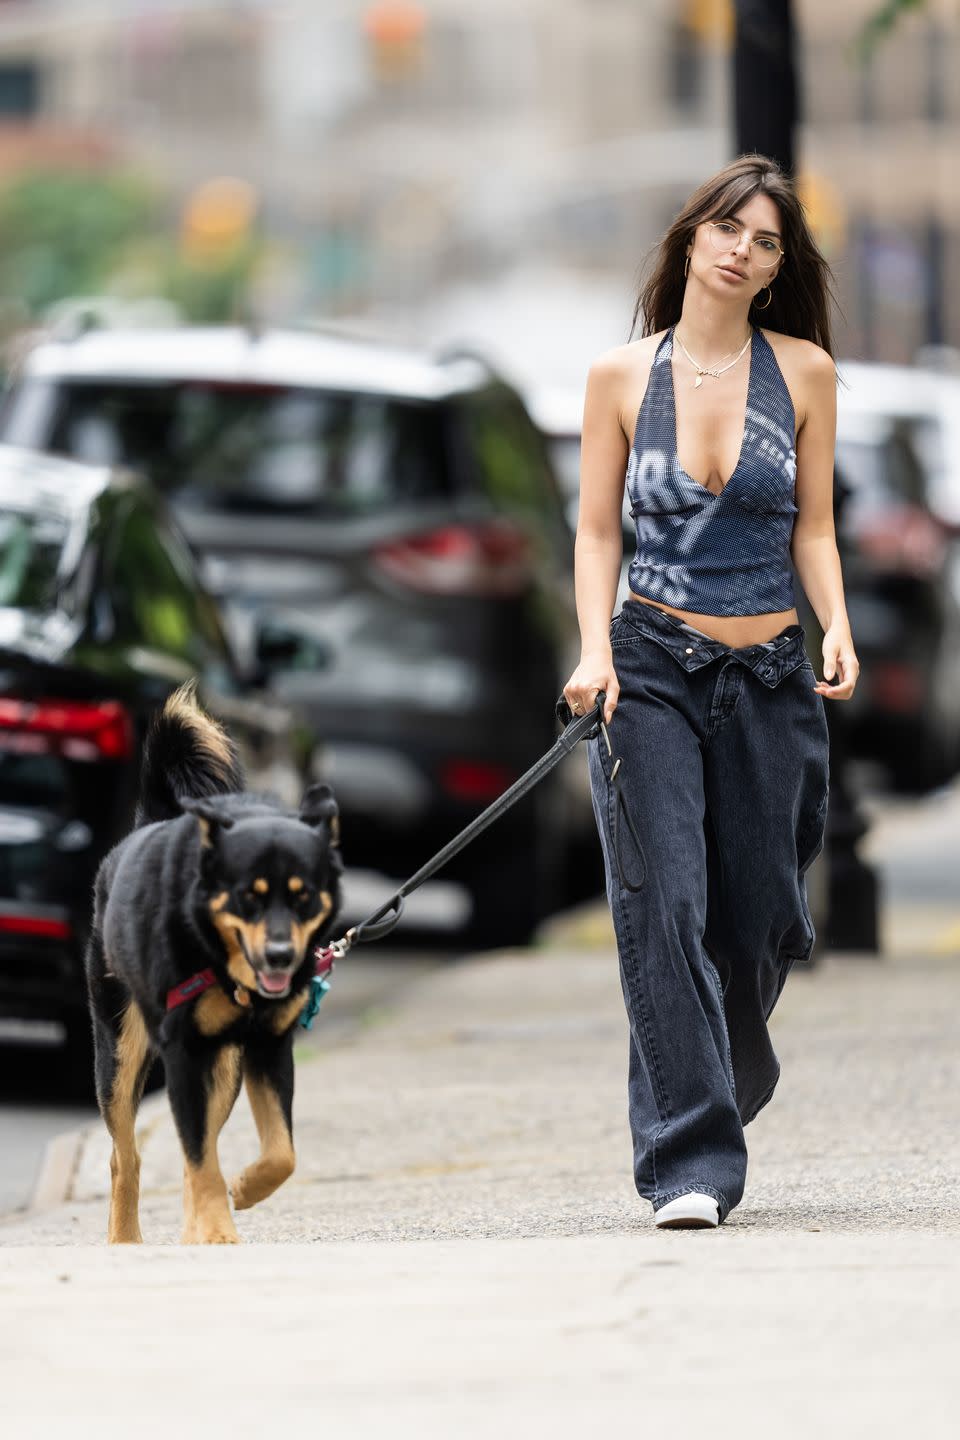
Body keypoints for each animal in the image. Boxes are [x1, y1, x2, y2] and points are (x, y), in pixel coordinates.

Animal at [84, 679, 341, 1244]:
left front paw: (241, 1193)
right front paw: (220, 1230)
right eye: (247, 895)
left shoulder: (268, 1049)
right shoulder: (183, 1052)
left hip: (224, 1067)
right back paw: (125, 1240)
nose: (281, 956)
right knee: (125, 1157)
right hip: (121, 1052)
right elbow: (195, 1156)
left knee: (191, 1154)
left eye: (304, 896)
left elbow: (280, 1153)